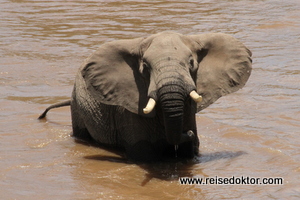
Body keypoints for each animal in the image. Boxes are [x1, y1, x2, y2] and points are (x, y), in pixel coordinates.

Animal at [38, 31, 252, 162]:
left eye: (191, 63)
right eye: (146, 68)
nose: (189, 133)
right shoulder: (128, 109)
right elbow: (145, 154)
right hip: (77, 106)